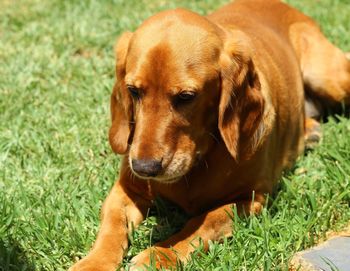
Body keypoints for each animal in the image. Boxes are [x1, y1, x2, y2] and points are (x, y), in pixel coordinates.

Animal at [69, 1, 350, 270]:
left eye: (186, 97)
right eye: (133, 91)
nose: (144, 168)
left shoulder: (252, 198)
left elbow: (204, 222)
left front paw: (162, 254)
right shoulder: (126, 189)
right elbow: (111, 227)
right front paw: (94, 262)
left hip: (328, 76)